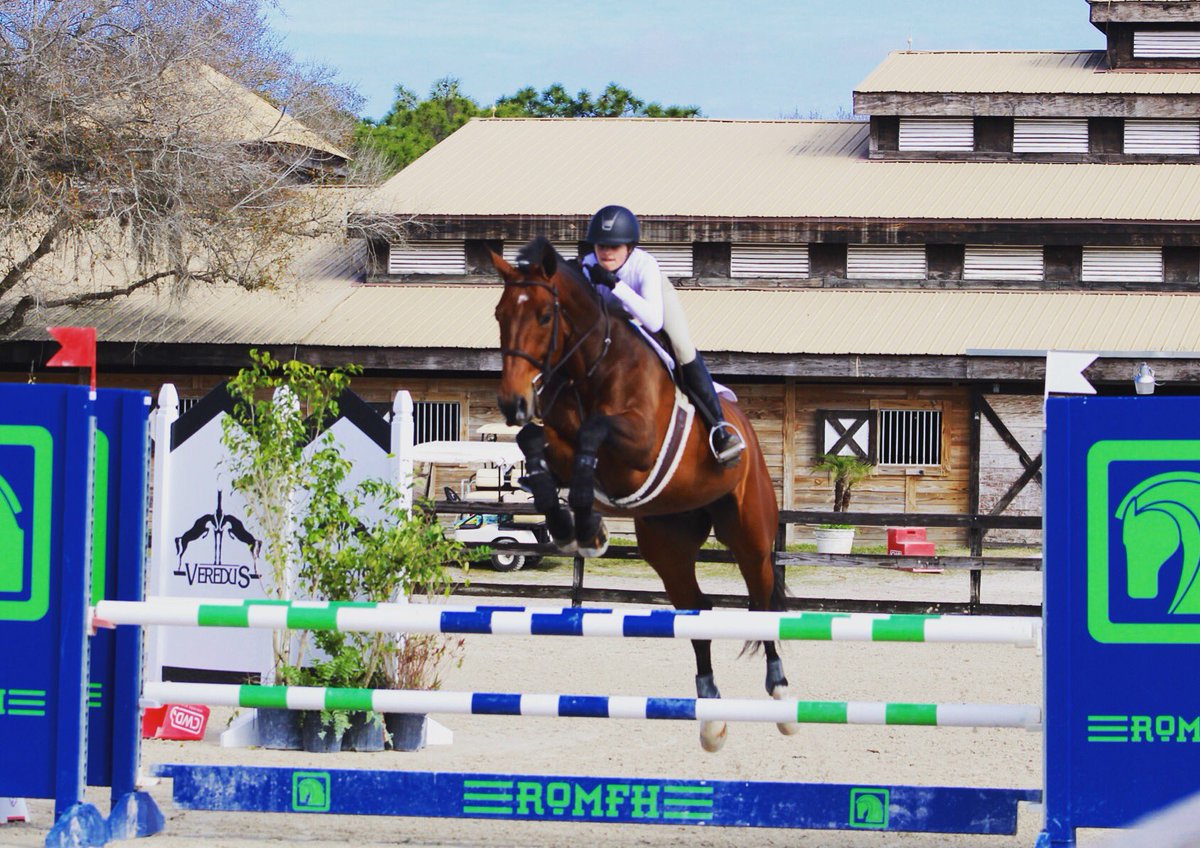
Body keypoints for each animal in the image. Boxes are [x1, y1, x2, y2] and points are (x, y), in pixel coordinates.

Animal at [491, 236, 795, 752]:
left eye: (545, 317)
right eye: (499, 314)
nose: (513, 404)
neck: (590, 367)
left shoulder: (638, 447)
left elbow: (593, 432)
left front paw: (586, 524)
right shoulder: (558, 440)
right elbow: (535, 443)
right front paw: (573, 527)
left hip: (750, 534)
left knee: (760, 603)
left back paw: (779, 693)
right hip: (667, 544)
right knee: (697, 610)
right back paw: (711, 718)